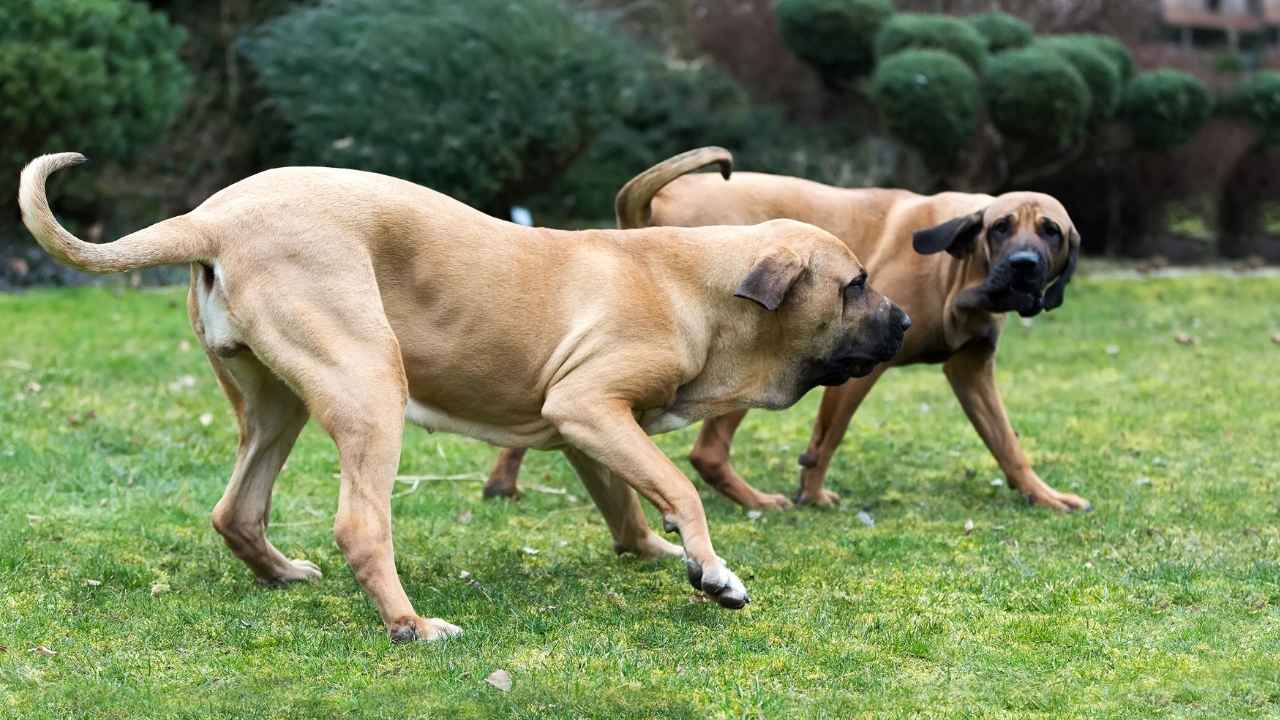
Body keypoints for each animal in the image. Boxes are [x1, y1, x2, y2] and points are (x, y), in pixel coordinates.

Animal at [17, 149, 911, 638]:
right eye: (855, 284)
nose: (905, 319)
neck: (695, 283)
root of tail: (213, 217)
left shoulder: (585, 428)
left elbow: (627, 503)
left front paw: (661, 553)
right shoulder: (589, 407)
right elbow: (680, 489)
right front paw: (713, 571)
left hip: (277, 405)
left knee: (237, 509)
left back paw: (282, 574)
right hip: (370, 385)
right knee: (361, 527)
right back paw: (410, 627)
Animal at [481, 147, 1090, 509]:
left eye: (1052, 232)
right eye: (1001, 228)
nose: (1023, 268)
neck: (956, 268)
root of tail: (659, 199)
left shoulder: (972, 371)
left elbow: (1007, 442)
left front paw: (1042, 495)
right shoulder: (860, 366)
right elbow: (825, 440)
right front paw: (812, 495)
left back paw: (504, 480)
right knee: (707, 452)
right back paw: (753, 501)